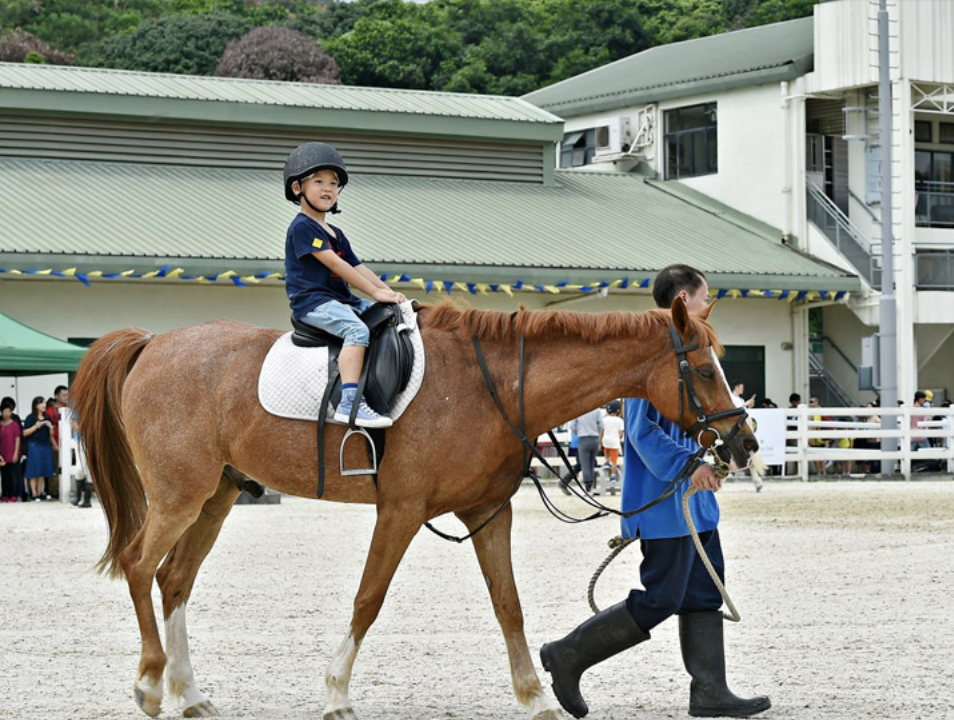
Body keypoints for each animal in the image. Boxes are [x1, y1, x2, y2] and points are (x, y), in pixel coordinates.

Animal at [71, 297, 757, 720]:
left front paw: (536, 696)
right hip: (178, 495)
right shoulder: (399, 511)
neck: (489, 386)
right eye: (702, 368)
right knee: (139, 565)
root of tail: (153, 343)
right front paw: (336, 694)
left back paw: (188, 693)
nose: (745, 442)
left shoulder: (488, 513)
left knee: (174, 580)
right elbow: (367, 600)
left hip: (215, 496)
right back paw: (149, 683)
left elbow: (508, 604)